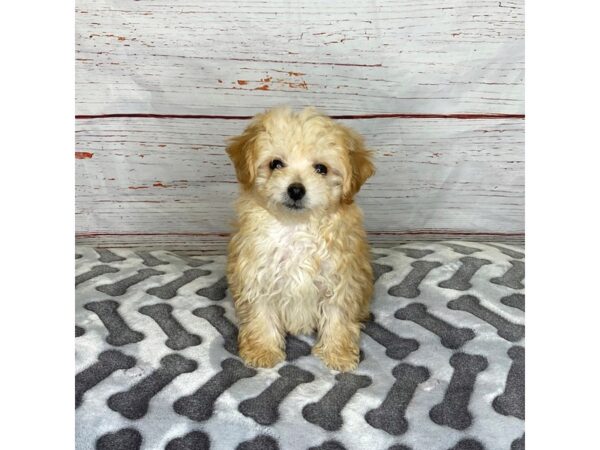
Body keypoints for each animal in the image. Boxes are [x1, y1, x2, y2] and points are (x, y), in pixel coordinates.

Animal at [226, 106, 376, 372]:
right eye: (276, 164)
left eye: (321, 168)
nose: (296, 189)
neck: (296, 227)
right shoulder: (257, 275)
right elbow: (260, 315)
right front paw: (263, 350)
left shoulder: (340, 279)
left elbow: (338, 317)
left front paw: (337, 354)